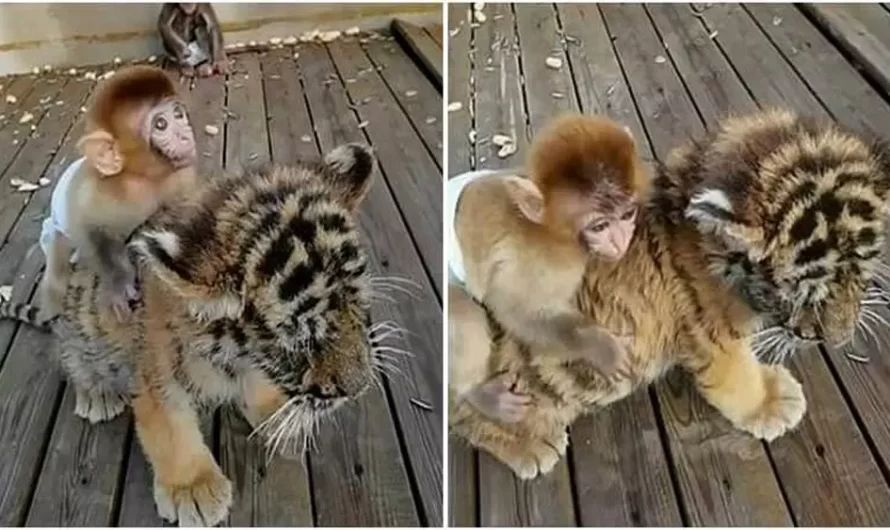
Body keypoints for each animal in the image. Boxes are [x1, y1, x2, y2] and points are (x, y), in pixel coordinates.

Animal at [39, 66, 198, 322]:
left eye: (178, 114)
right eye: (161, 124)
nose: (186, 133)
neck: (144, 178)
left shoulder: (181, 176)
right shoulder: (101, 194)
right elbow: (91, 229)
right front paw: (120, 282)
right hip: (55, 229)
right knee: (55, 247)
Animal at [444, 112, 644, 420]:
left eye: (627, 214)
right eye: (600, 226)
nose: (621, 240)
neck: (550, 231)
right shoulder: (543, 262)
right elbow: (518, 312)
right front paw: (599, 345)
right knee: (463, 313)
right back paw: (476, 393)